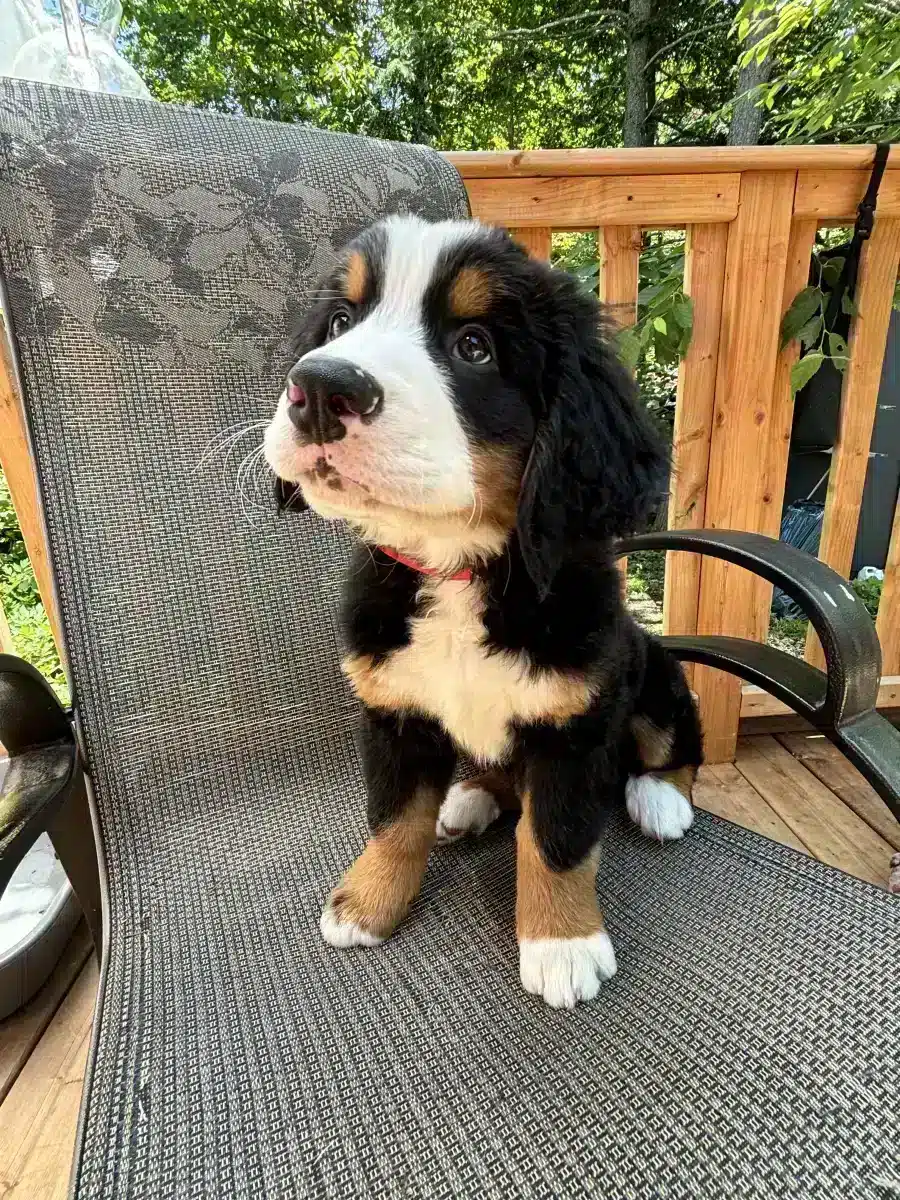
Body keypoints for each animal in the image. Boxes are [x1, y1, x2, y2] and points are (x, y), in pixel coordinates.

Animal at [264, 213, 710, 1003]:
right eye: (343, 321)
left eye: (473, 346)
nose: (317, 387)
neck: (457, 566)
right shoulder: (394, 710)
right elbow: (394, 818)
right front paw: (366, 902)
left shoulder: (574, 724)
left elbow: (555, 839)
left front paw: (562, 943)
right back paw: (468, 797)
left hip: (652, 669)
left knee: (676, 743)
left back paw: (660, 799)